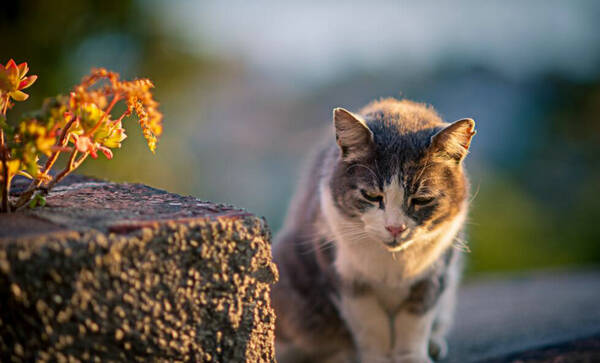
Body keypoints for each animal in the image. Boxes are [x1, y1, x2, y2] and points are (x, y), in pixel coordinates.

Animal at [270, 97, 474, 363]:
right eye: (371, 196)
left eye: (422, 199)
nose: (395, 227)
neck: (393, 263)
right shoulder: (343, 275)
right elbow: (371, 324)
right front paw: (378, 356)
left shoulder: (436, 272)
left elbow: (415, 321)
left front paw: (412, 356)